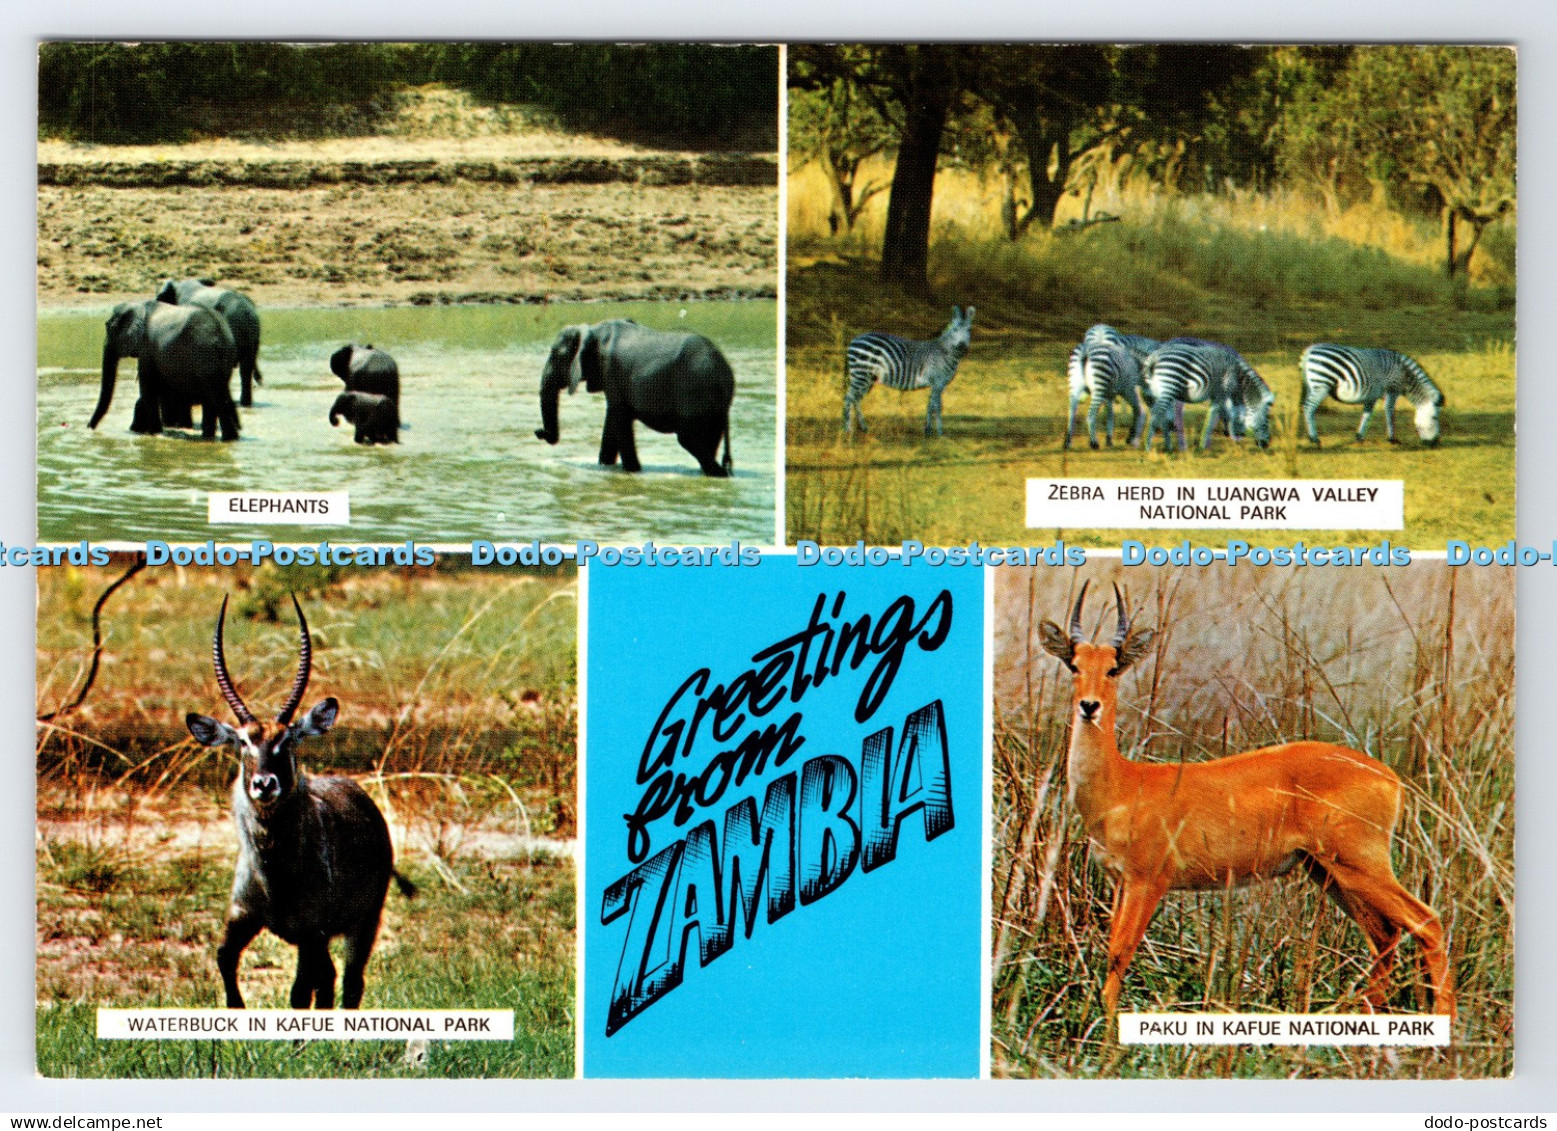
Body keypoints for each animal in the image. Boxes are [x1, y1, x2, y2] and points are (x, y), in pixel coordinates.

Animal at [89, 299, 240, 441]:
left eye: (109, 328)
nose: (90, 428)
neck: (140, 306)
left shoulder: (147, 347)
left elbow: (148, 387)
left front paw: (154, 434)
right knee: (212, 398)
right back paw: (213, 438)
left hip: (205, 356)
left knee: (214, 397)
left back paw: (226, 439)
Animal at [535, 319, 734, 477]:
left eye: (555, 354)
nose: (539, 432)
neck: (593, 329)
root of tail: (724, 371)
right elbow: (613, 421)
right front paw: (606, 466)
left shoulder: (611, 371)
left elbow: (619, 417)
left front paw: (633, 471)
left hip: (695, 391)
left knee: (687, 437)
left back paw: (719, 474)